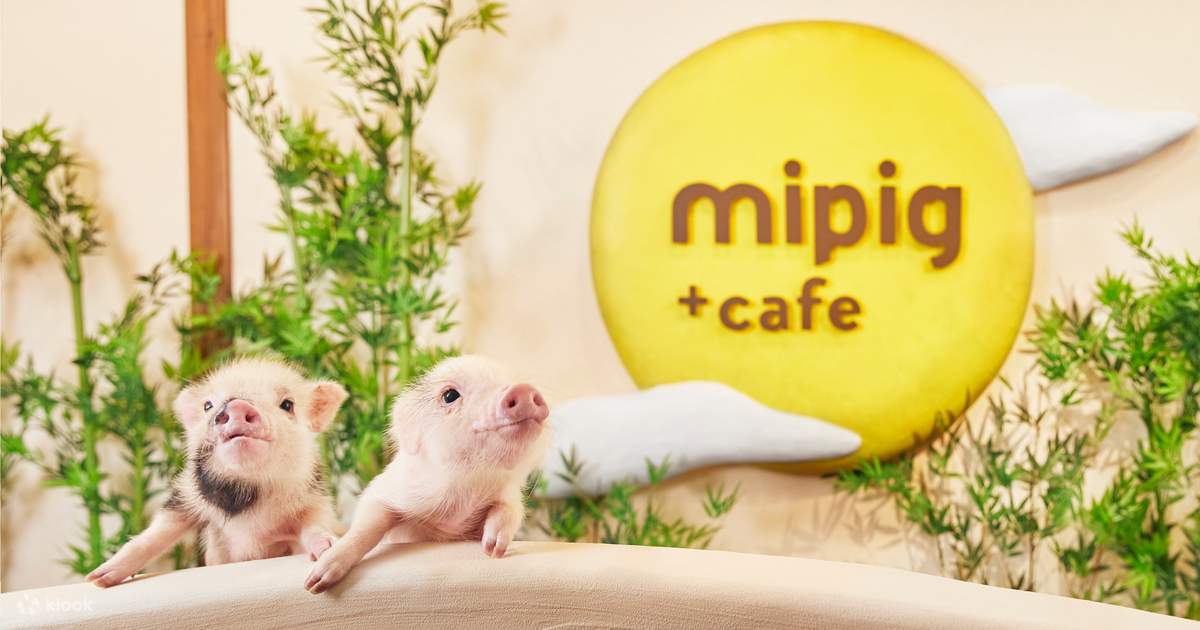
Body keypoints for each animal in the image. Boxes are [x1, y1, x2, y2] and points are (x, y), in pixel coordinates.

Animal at [87, 358, 348, 587]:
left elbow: (314, 526)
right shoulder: (186, 496)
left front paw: (328, 548)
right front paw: (97, 579)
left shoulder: (313, 499)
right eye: (208, 405)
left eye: (287, 404)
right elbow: (158, 532)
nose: (237, 405)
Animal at [303, 355, 550, 594]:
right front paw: (314, 583)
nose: (522, 389)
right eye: (450, 395)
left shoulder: (510, 495)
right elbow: (367, 527)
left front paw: (493, 549)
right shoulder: (384, 490)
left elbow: (509, 512)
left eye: (512, 380)